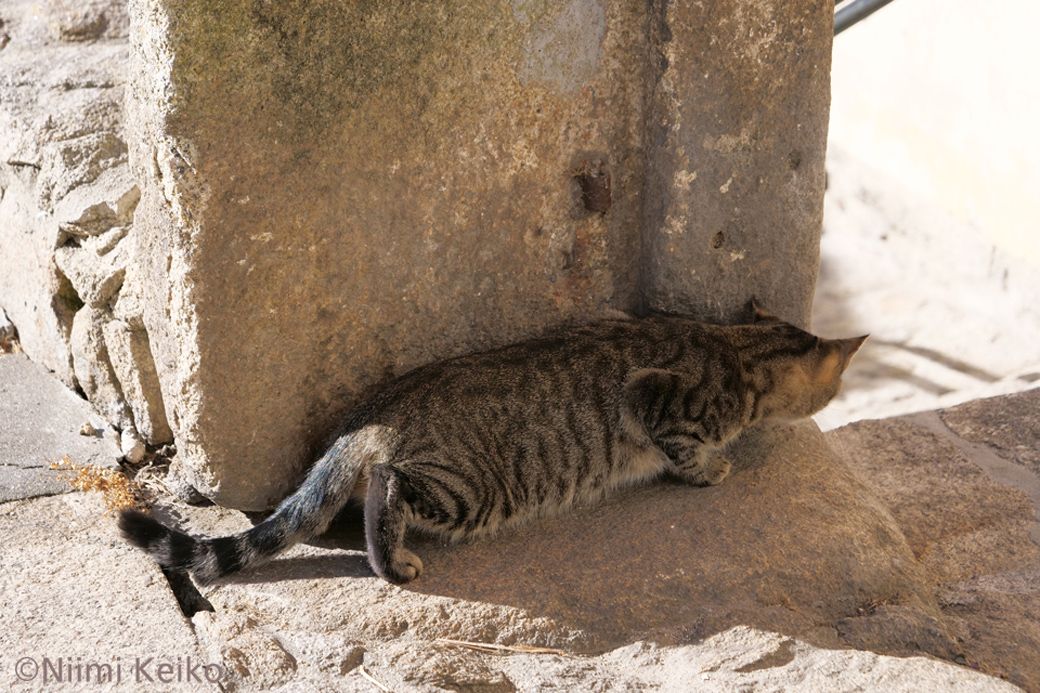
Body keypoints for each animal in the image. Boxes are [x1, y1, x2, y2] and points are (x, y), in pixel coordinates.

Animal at [118, 301, 865, 582]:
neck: (738, 350)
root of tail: (374, 415)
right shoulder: (656, 397)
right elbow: (683, 448)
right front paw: (712, 468)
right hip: (469, 489)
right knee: (386, 490)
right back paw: (395, 563)